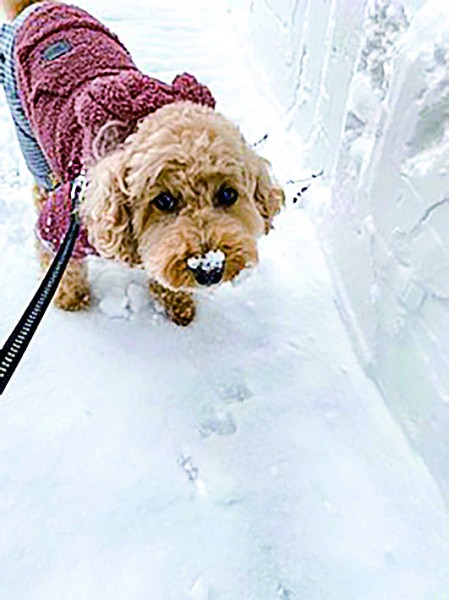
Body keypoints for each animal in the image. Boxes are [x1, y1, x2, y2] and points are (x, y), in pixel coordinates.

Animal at [0, 0, 284, 326]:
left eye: (228, 194)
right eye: (163, 200)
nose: (208, 269)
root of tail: (39, 6)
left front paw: (177, 304)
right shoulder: (65, 224)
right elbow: (60, 262)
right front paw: (71, 300)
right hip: (27, 132)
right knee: (42, 185)